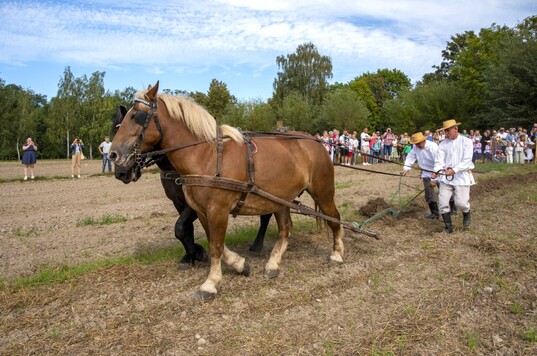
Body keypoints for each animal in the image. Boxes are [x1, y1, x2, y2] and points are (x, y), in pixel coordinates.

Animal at [111, 105, 270, 270]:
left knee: (266, 215)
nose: (120, 173)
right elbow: (185, 230)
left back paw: (257, 245)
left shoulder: (196, 204)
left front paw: (198, 253)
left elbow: (180, 227)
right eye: (115, 131)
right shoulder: (178, 202)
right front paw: (189, 256)